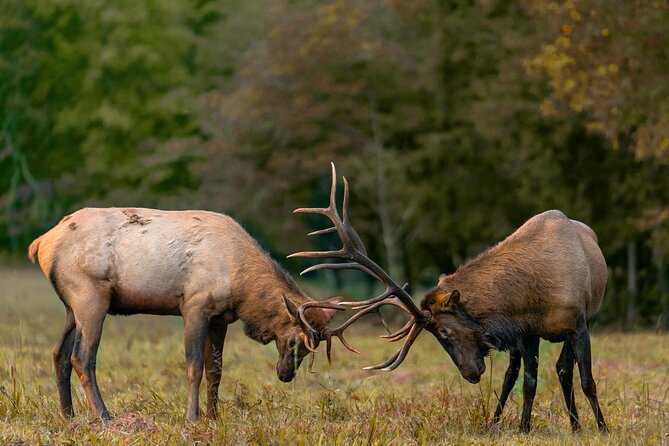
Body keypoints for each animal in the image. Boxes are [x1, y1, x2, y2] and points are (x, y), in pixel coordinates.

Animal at [28, 207, 339, 422]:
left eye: (312, 346)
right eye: (294, 341)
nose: (285, 375)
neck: (242, 287)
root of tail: (40, 244)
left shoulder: (220, 318)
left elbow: (216, 369)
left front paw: (214, 416)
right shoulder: (194, 306)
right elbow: (194, 367)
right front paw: (192, 417)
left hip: (72, 307)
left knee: (58, 353)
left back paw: (68, 415)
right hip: (90, 296)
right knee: (82, 357)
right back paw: (105, 417)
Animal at [290, 164, 608, 434]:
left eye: (444, 331)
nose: (470, 373)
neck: (537, 292)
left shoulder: (578, 325)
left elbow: (587, 380)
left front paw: (602, 428)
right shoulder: (527, 332)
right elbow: (529, 382)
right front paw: (523, 429)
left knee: (563, 371)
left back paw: (577, 425)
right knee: (514, 374)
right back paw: (503, 422)